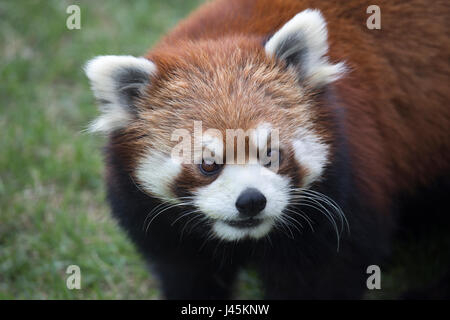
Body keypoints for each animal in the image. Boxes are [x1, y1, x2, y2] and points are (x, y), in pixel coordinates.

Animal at [84, 0, 450, 300]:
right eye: (208, 164)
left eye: (272, 154)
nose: (251, 200)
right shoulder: (162, 227)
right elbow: (187, 273)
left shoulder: (349, 186)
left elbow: (322, 276)